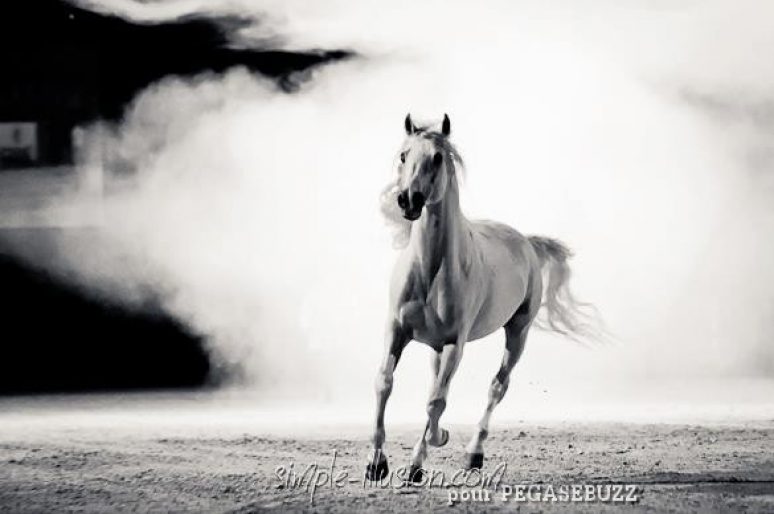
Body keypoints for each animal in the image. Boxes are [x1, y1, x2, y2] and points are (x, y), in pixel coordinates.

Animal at [366, 112, 592, 480]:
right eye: (403, 155)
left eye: (437, 158)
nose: (408, 200)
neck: (431, 271)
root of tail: (527, 243)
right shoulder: (396, 331)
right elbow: (385, 383)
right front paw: (376, 463)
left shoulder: (455, 343)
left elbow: (436, 402)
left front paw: (427, 452)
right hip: (438, 346)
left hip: (517, 333)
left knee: (496, 386)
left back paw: (473, 453)